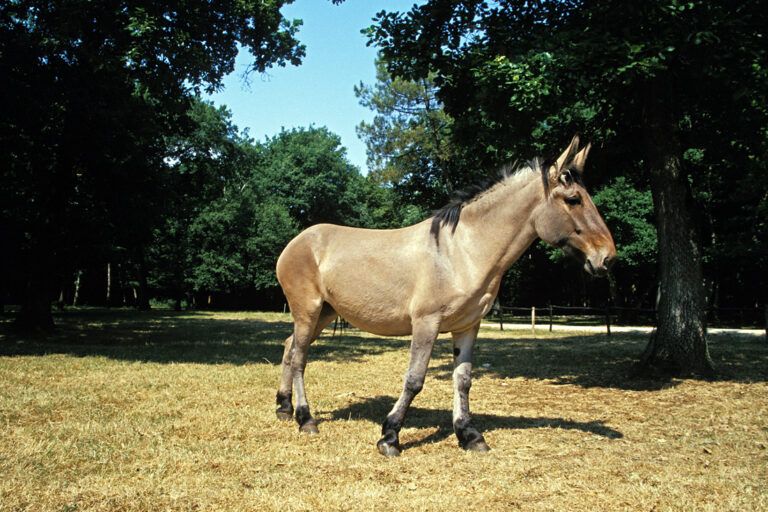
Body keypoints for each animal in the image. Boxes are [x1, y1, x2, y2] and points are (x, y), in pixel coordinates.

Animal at [274, 136, 616, 456]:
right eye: (573, 199)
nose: (608, 257)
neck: (461, 252)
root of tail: (297, 242)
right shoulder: (426, 323)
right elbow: (414, 379)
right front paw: (390, 436)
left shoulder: (467, 326)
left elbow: (463, 379)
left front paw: (469, 435)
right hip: (307, 311)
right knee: (300, 357)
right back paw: (306, 419)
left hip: (325, 313)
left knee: (290, 348)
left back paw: (284, 407)